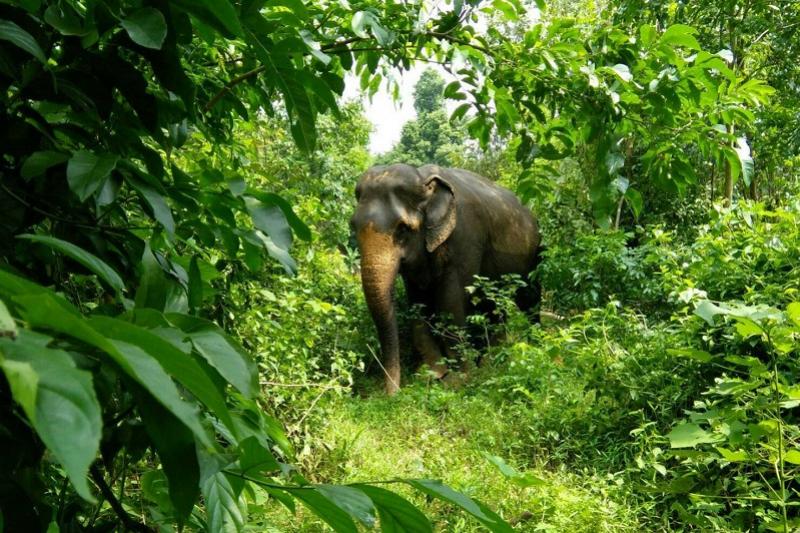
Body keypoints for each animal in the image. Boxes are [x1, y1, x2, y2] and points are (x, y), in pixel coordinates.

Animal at [351, 163, 542, 395]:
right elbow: (418, 303)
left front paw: (457, 381)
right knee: (494, 306)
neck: (423, 178)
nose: (392, 395)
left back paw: (532, 346)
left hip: (536, 255)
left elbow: (450, 302)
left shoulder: (465, 239)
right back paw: (492, 361)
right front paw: (431, 374)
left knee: (529, 299)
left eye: (403, 229)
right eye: (352, 226)